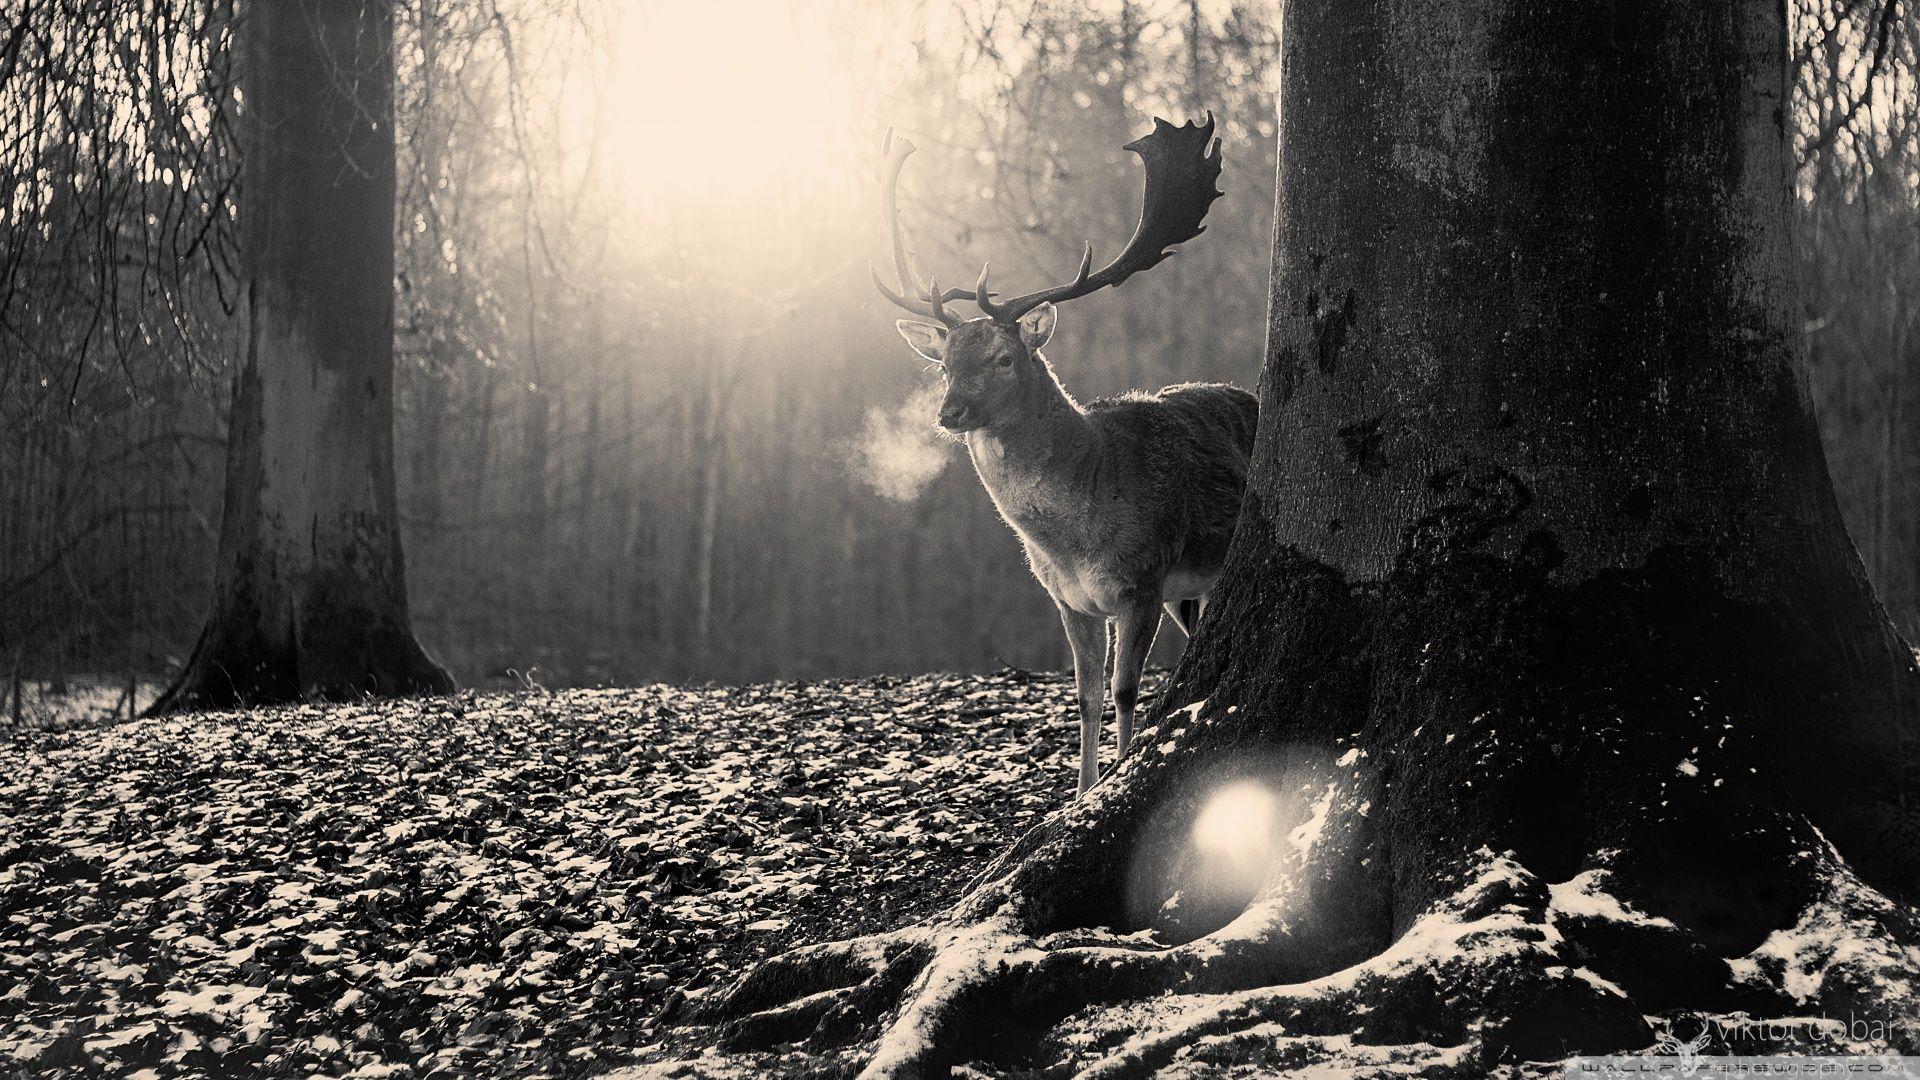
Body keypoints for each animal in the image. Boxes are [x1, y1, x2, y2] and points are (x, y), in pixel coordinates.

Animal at [874, 114, 1258, 796]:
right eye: (944, 364)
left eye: (1004, 358)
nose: (950, 413)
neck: (1075, 535)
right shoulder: (1067, 600)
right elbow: (1084, 696)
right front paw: (1078, 793)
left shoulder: (1142, 581)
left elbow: (1126, 690)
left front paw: (1118, 775)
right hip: (1190, 590)